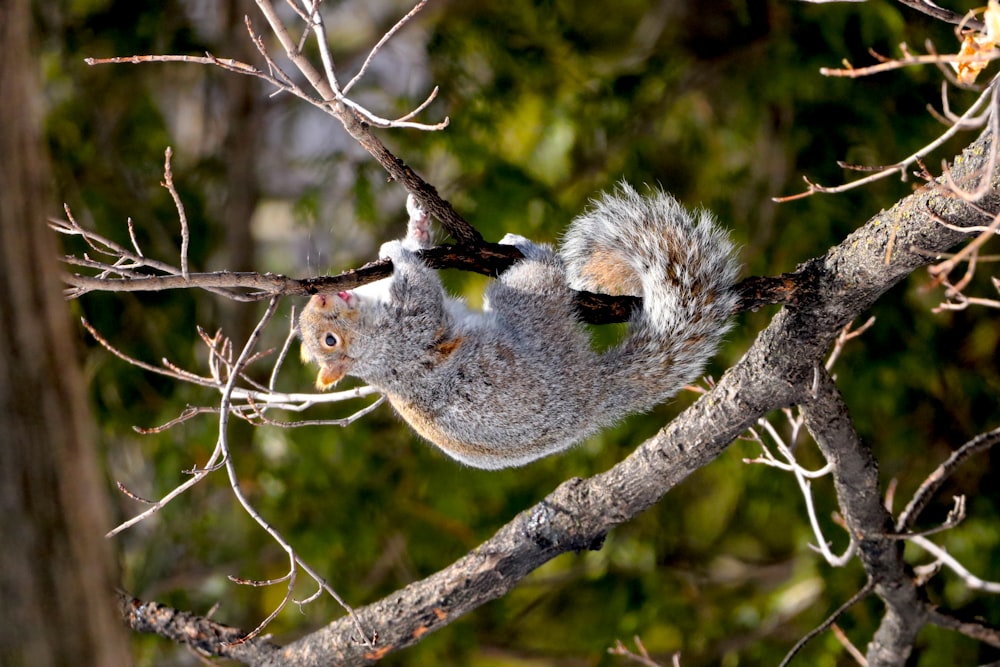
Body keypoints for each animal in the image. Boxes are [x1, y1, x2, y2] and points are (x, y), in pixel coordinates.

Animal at [298, 183, 744, 470]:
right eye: (330, 341)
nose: (321, 297)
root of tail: (592, 389)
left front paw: (414, 229)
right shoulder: (407, 335)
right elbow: (422, 296)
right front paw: (401, 253)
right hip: (526, 312)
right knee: (542, 281)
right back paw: (535, 252)